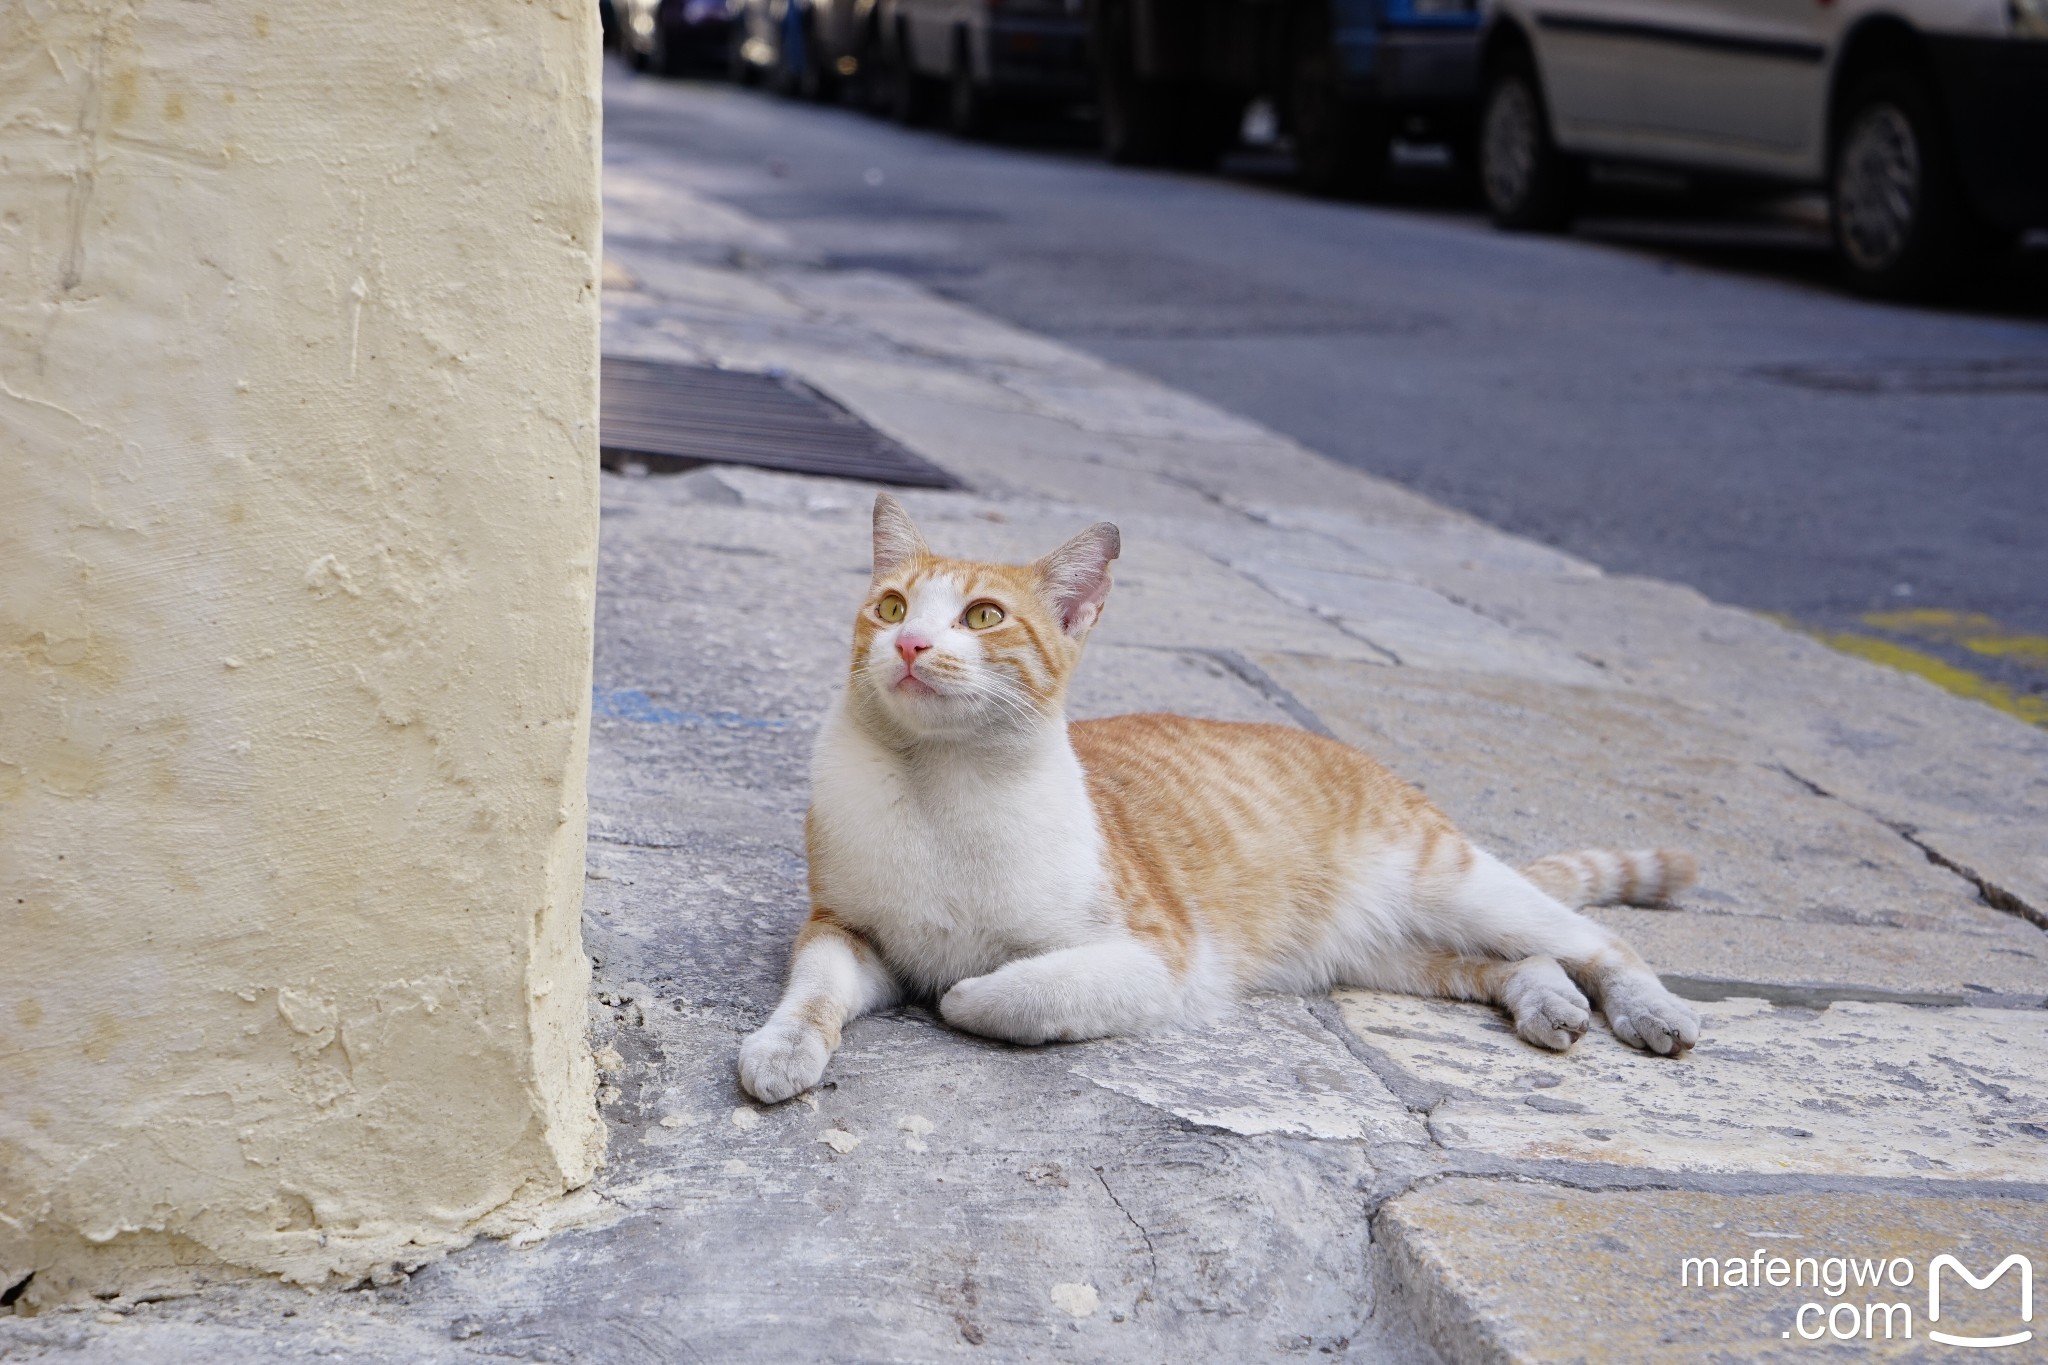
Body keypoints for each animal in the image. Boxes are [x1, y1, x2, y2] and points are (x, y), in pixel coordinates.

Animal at [737, 497, 1695, 1105]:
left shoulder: (1154, 957)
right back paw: (1549, 1002)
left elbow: (998, 992)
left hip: (1456, 886)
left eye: (982, 617)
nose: (908, 642)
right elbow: (814, 990)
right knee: (1512, 960)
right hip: (1397, 954)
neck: (938, 788)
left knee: (1595, 939)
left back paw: (1648, 1009)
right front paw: (785, 1046)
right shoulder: (844, 929)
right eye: (891, 604)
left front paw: (965, 990)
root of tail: (1376, 766)